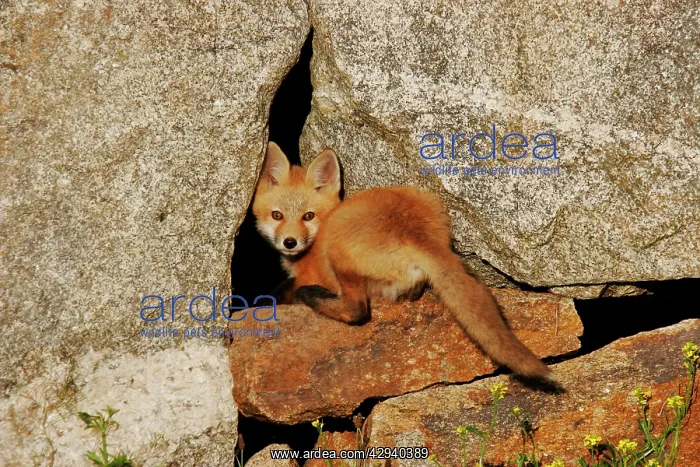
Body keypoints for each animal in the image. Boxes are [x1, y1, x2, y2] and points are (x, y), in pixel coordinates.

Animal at [251, 142, 554, 381]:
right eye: (277, 215)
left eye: (308, 216)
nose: (290, 242)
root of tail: (414, 230)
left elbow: (283, 291)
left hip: (337, 250)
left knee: (356, 310)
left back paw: (311, 297)